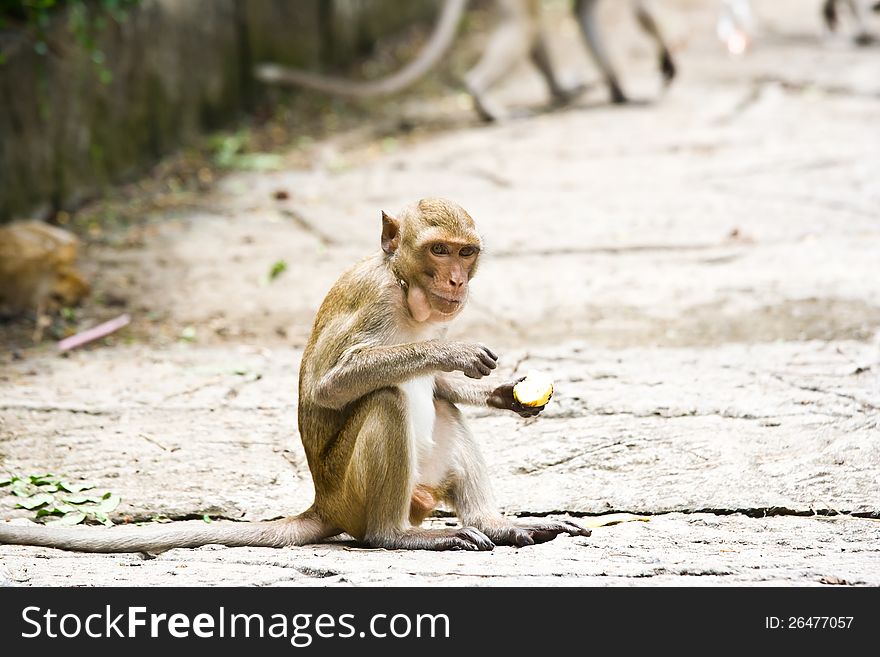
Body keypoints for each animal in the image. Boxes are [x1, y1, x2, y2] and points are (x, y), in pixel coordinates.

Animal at [1, 197, 592, 552]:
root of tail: (324, 502)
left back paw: (497, 525)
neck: (405, 289)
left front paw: (503, 393)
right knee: (386, 401)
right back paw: (397, 537)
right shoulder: (375, 302)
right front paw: (456, 352)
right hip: (353, 494)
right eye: (438, 249)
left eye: (466, 252)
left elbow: (441, 386)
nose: (455, 279)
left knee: (438, 407)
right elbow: (329, 386)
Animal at [251, 0, 676, 121]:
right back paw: (487, 103)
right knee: (525, 24)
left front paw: (620, 91)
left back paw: (562, 90)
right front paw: (667, 64)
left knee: (531, 26)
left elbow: (583, 12)